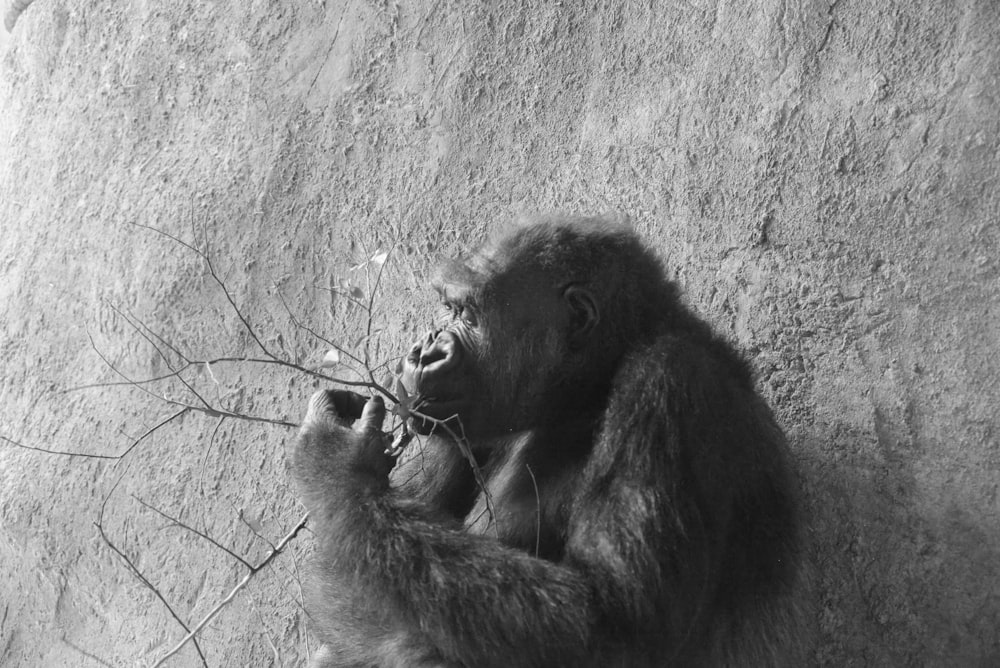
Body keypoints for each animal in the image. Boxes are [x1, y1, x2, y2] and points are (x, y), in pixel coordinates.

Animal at [292, 217, 804, 664]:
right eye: (449, 308)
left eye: (468, 314)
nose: (425, 350)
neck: (590, 390)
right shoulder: (456, 425)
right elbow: (362, 574)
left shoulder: (669, 382)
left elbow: (613, 618)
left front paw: (335, 463)